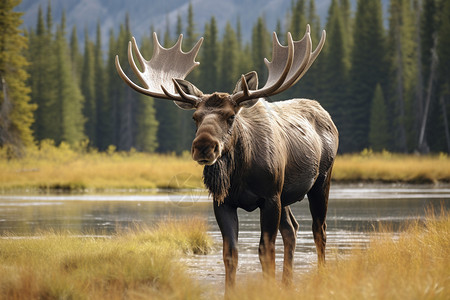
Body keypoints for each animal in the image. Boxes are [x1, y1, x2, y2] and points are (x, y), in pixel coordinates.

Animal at [115, 25, 338, 288]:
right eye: (195, 117)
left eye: (231, 116)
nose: (204, 146)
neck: (242, 173)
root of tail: (326, 114)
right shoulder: (223, 202)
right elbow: (230, 253)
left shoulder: (270, 197)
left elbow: (265, 250)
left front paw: (268, 287)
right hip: (286, 196)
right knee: (292, 229)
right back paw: (286, 282)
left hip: (321, 180)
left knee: (319, 229)